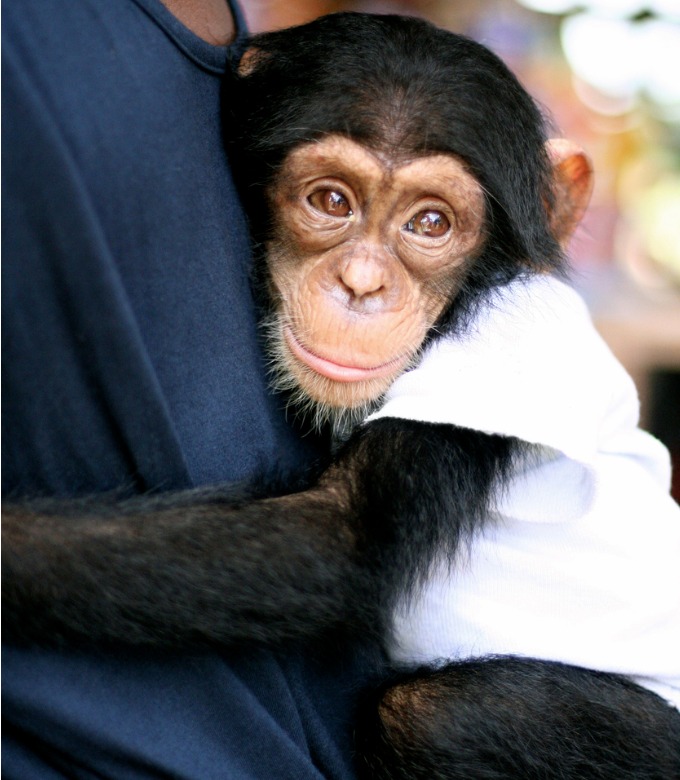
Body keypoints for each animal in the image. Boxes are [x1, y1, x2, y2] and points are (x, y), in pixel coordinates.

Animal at [3, 13, 680, 778]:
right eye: (331, 201)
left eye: (430, 224)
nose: (361, 284)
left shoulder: (494, 361)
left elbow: (338, 535)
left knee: (433, 719)